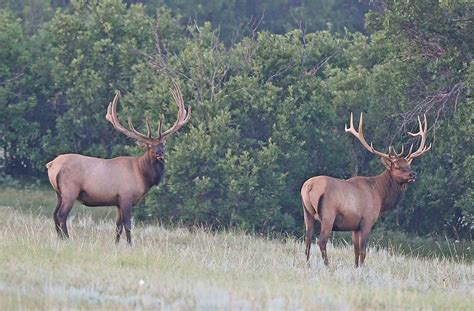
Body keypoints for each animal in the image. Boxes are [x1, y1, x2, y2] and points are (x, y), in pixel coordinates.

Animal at [45, 83, 191, 246]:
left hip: (58, 193)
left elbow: (118, 226)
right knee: (61, 215)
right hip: (70, 190)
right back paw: (67, 239)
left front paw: (115, 244)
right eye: (149, 146)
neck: (142, 176)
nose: (160, 153)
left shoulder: (118, 202)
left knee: (54, 214)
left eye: (162, 144)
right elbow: (127, 225)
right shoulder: (126, 196)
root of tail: (51, 165)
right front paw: (130, 244)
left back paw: (60, 238)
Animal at [302, 113, 432, 266]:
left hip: (307, 212)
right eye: (397, 167)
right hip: (328, 214)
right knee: (321, 241)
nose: (413, 174)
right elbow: (363, 250)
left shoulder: (354, 226)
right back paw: (327, 265)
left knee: (307, 239)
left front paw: (356, 267)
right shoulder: (367, 220)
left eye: (408, 165)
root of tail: (309, 187)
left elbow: (356, 251)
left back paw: (307, 263)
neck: (380, 195)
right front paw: (362, 268)